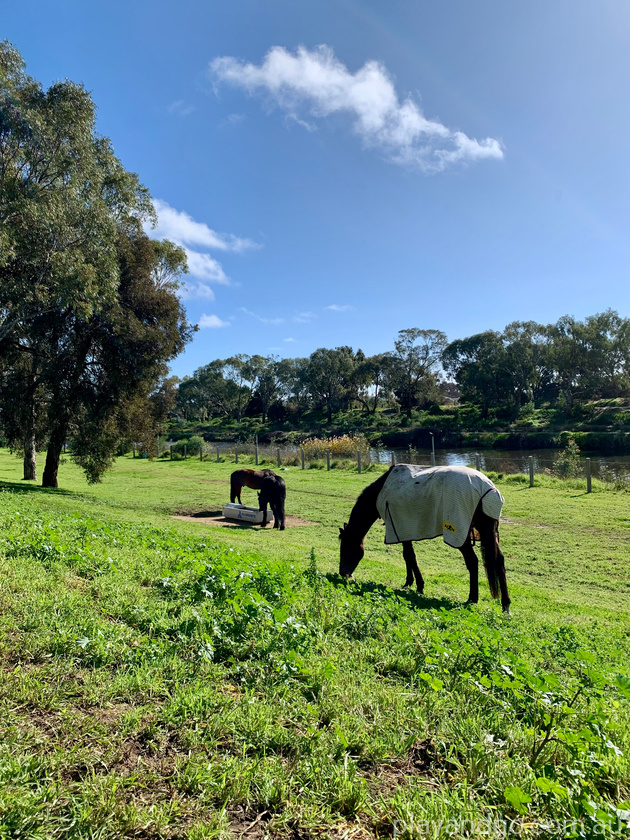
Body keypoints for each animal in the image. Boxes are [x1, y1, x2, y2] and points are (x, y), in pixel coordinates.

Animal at [338, 465, 510, 612]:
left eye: (345, 548)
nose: (343, 573)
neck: (381, 491)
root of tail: (486, 488)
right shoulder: (403, 530)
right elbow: (407, 556)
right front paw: (409, 582)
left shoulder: (401, 525)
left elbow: (410, 556)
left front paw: (419, 586)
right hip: (488, 533)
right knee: (498, 561)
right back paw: (505, 605)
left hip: (460, 534)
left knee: (472, 562)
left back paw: (472, 598)